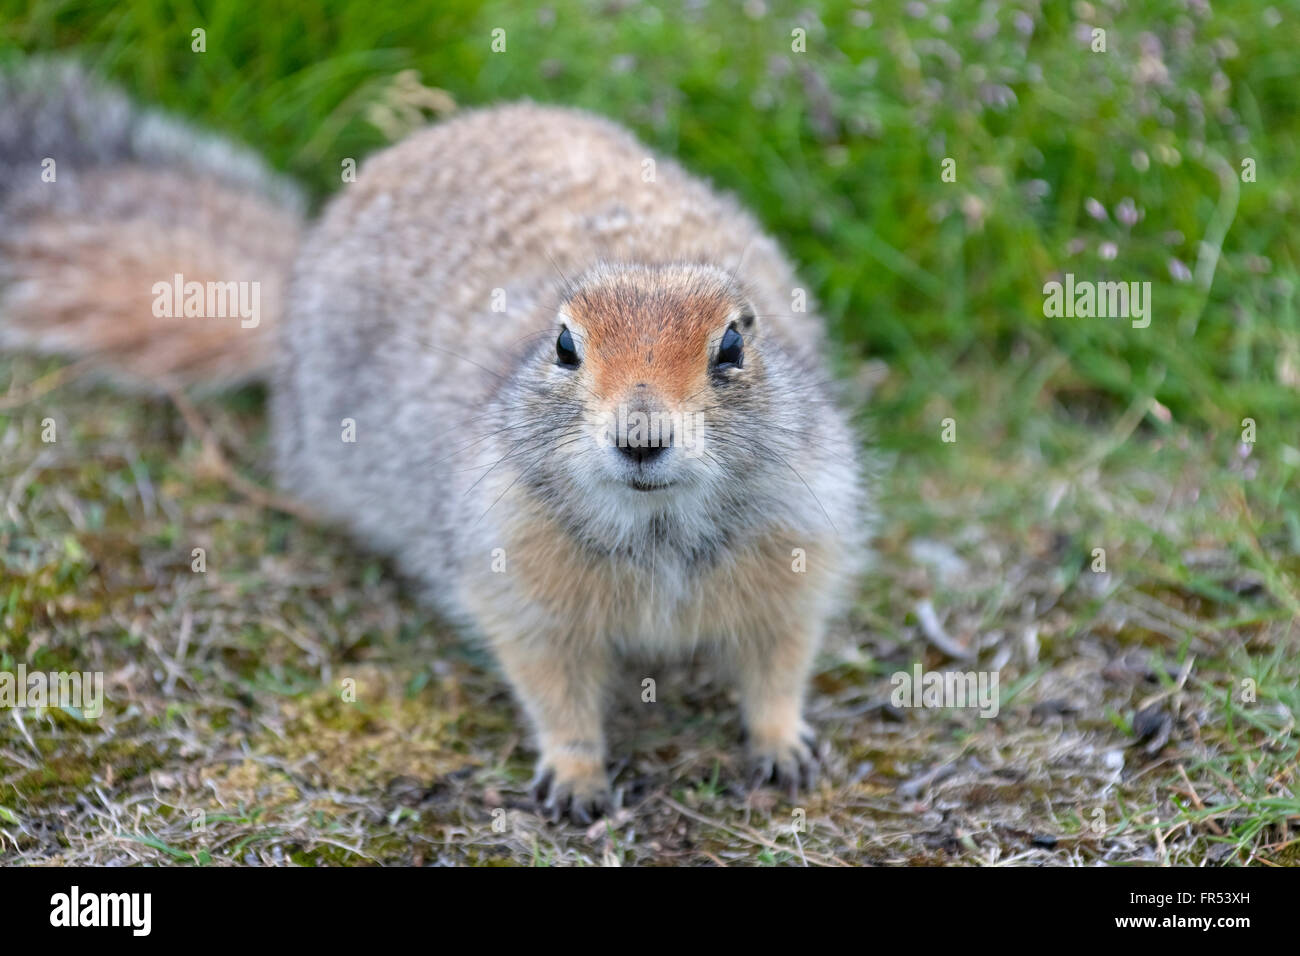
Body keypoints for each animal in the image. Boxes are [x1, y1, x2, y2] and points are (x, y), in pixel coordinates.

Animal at [5, 61, 873, 822]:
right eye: (565, 346)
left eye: (732, 346)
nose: (641, 436)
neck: (656, 526)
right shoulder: (512, 562)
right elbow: (550, 681)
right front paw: (575, 778)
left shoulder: (799, 540)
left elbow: (779, 658)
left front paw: (785, 745)